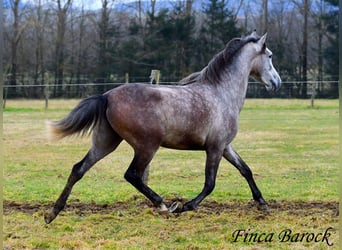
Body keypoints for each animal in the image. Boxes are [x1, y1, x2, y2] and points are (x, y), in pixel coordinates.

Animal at [44, 30, 282, 224]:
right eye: (270, 56)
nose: (277, 82)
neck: (221, 93)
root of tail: (107, 95)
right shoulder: (215, 147)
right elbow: (210, 183)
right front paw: (185, 206)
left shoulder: (225, 146)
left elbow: (245, 170)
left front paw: (262, 203)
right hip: (147, 146)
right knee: (132, 175)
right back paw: (164, 205)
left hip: (106, 142)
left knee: (78, 169)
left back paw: (52, 213)